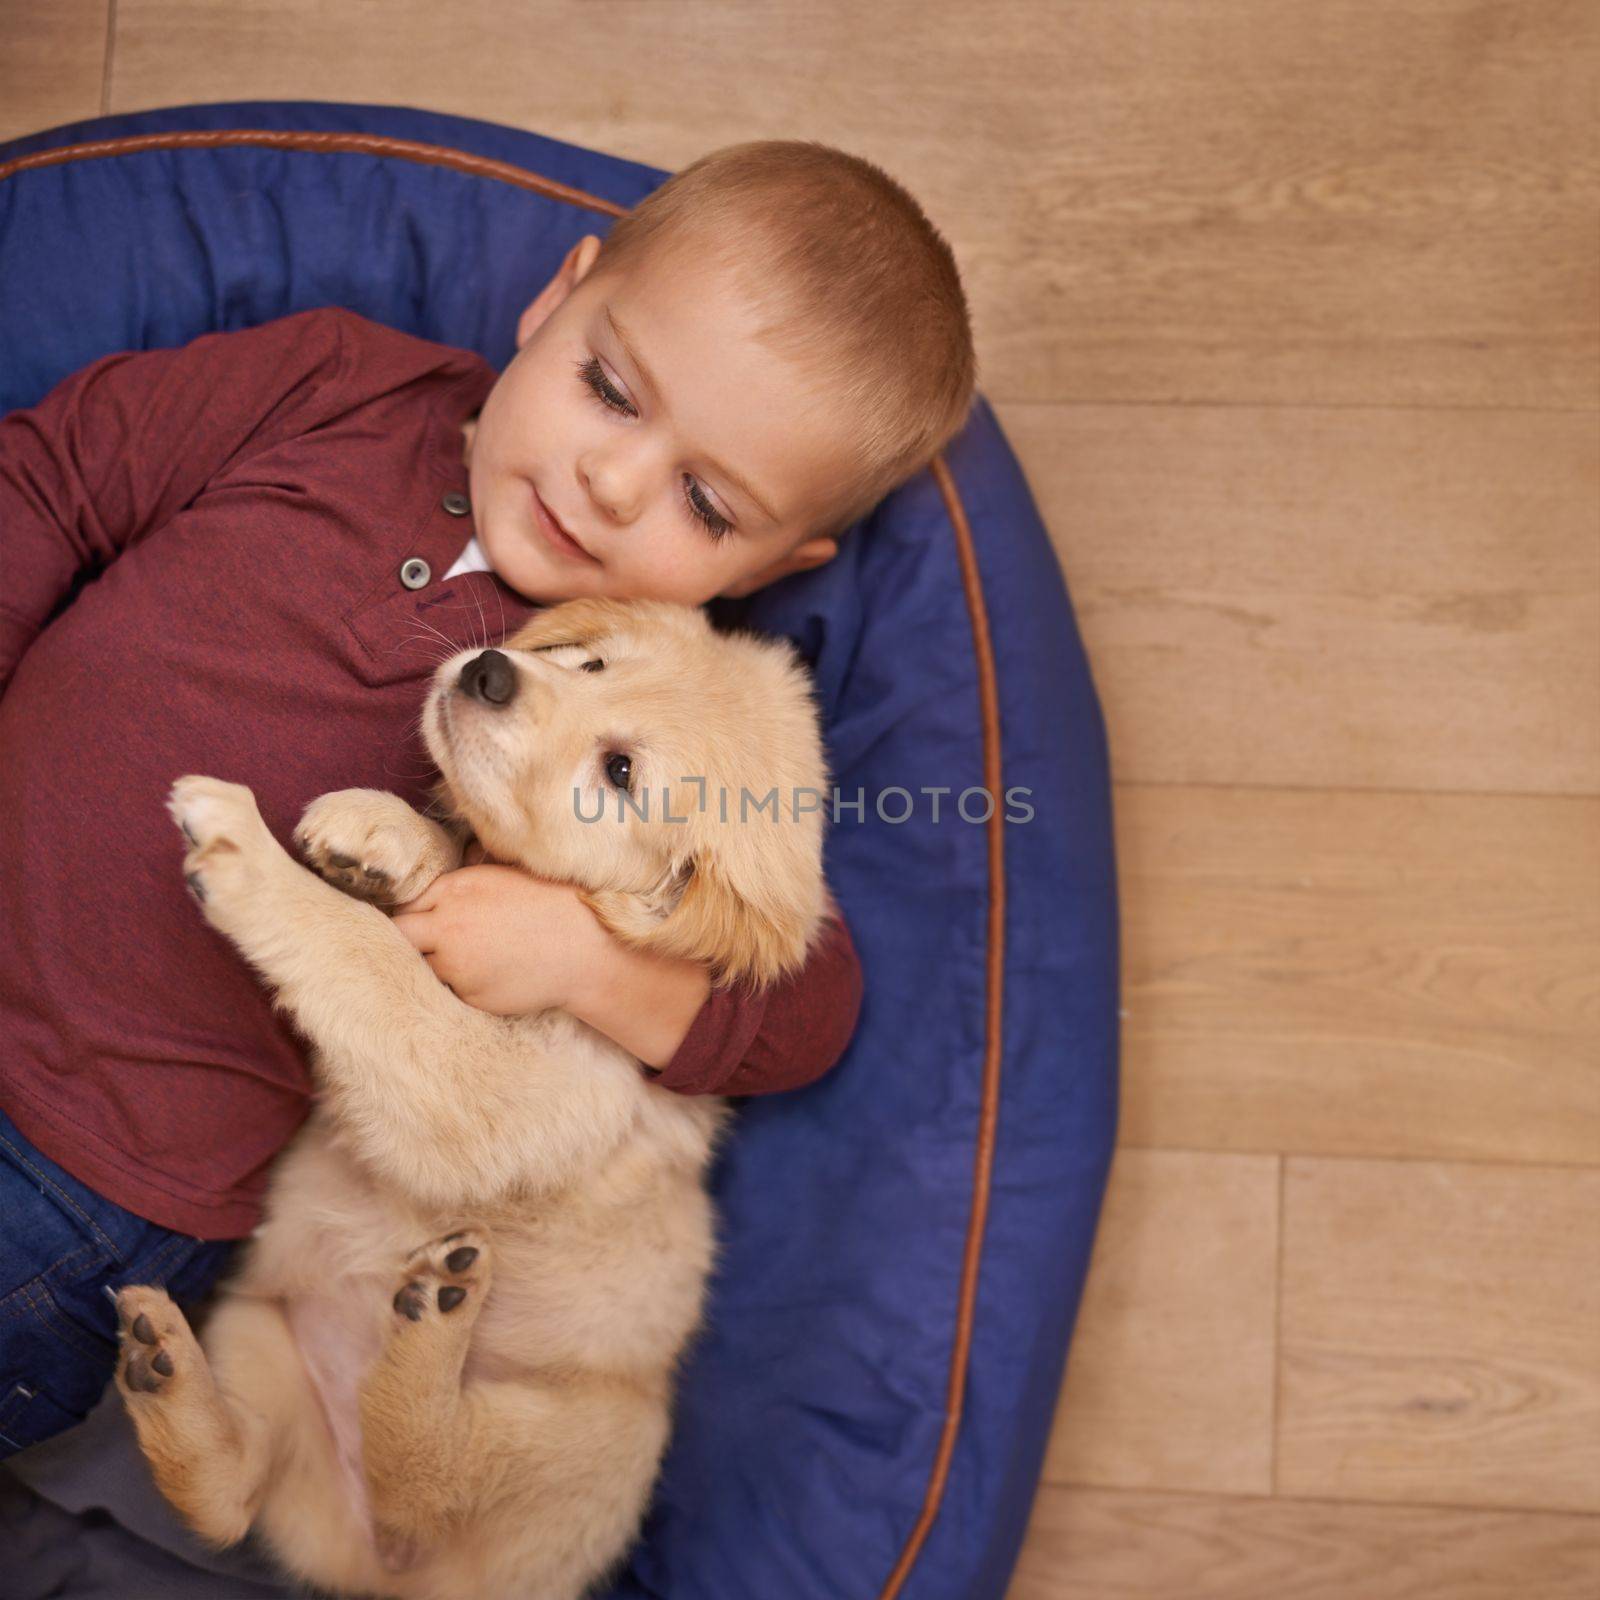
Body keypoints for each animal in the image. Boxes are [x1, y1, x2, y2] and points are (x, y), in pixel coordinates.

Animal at [112, 601, 832, 1600]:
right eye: (591, 662)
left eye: (619, 773)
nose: (490, 673)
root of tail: (384, 1576)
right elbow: (423, 879)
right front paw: (384, 838)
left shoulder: (503, 1086)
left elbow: (368, 956)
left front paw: (253, 857)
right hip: (261, 1339)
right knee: (236, 1498)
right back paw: (164, 1368)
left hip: (595, 1442)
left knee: (428, 1475)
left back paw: (433, 1325)